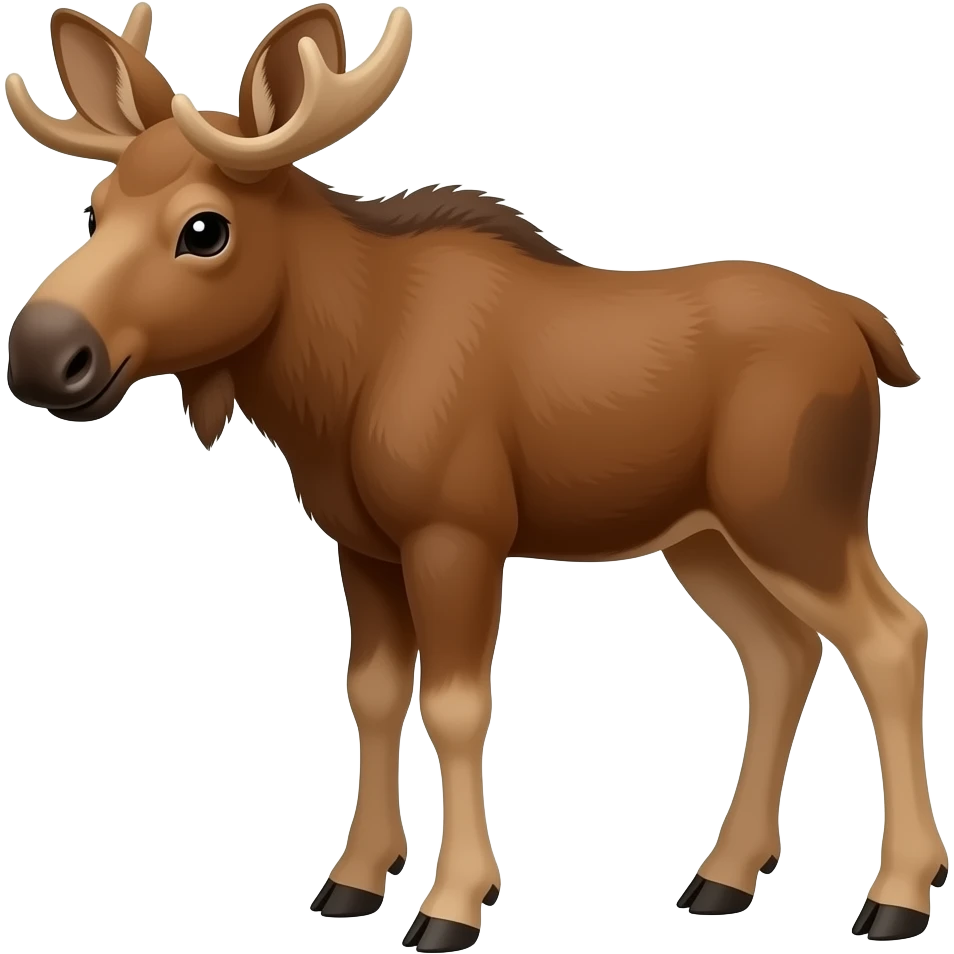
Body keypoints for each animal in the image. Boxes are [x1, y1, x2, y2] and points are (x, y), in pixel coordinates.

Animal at [3, 2, 946, 948]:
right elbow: (373, 694)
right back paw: (724, 877)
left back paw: (897, 893)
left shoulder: (457, 533)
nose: (45, 354)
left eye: (205, 229)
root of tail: (867, 327)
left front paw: (453, 902)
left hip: (795, 514)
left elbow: (455, 706)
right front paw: (353, 880)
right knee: (781, 652)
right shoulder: (362, 545)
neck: (331, 382)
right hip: (704, 537)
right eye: (96, 207)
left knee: (891, 635)